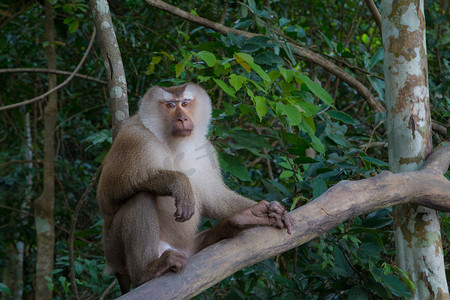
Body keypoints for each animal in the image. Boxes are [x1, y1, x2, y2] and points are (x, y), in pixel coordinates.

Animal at [96, 83, 294, 294]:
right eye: (170, 105)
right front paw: (180, 183)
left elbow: (215, 199)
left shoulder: (206, 150)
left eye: (185, 103)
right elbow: (111, 191)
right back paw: (146, 272)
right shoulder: (135, 141)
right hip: (114, 248)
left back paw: (241, 220)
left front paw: (267, 211)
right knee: (141, 197)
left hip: (189, 249)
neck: (172, 143)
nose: (182, 118)